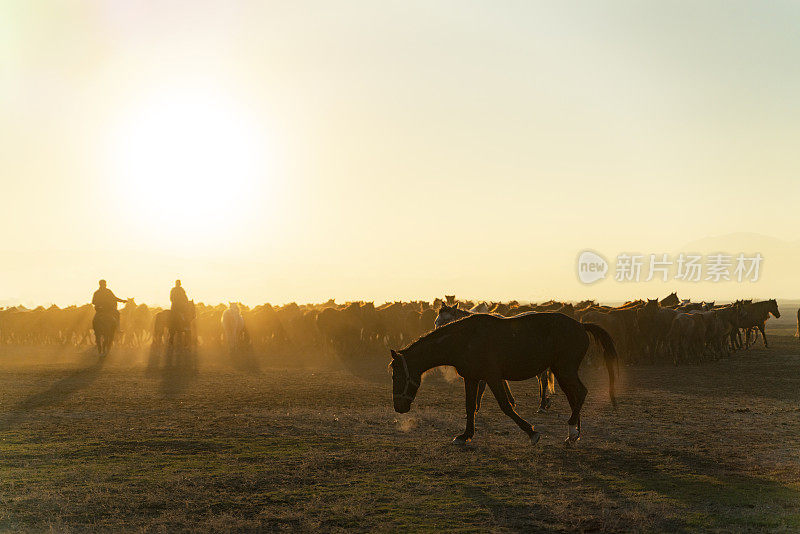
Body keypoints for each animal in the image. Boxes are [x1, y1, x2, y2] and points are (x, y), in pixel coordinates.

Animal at [390, 314, 616, 448]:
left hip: (565, 370)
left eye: (396, 375)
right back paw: (574, 434)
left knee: (581, 393)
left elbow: (506, 406)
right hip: (563, 372)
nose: (398, 407)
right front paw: (465, 435)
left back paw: (571, 430)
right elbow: (470, 406)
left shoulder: (492, 377)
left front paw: (531, 432)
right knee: (574, 396)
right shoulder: (472, 378)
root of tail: (580, 325)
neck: (465, 340)